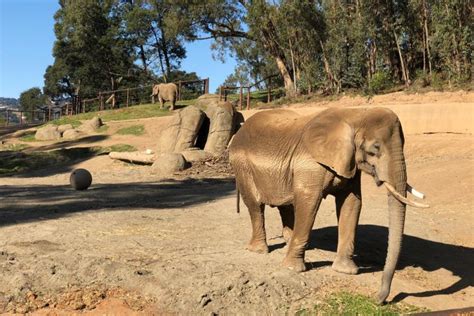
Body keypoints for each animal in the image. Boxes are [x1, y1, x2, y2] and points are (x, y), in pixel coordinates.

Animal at [228, 108, 428, 304]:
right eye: (375, 149)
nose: (379, 300)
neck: (355, 114)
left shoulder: (349, 164)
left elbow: (351, 203)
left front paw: (346, 271)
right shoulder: (311, 164)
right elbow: (309, 202)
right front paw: (293, 269)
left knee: (284, 206)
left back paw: (288, 244)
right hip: (241, 165)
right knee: (255, 205)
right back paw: (259, 250)